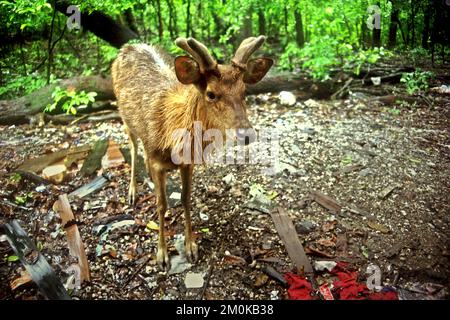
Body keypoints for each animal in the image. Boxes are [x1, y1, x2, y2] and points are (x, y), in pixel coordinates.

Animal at [111, 35, 274, 270]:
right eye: (211, 94)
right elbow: (161, 204)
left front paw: (191, 247)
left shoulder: (188, 164)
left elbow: (186, 199)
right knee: (133, 146)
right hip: (123, 116)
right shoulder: (157, 160)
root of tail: (129, 45)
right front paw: (162, 255)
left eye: (244, 92)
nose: (247, 134)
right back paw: (132, 191)